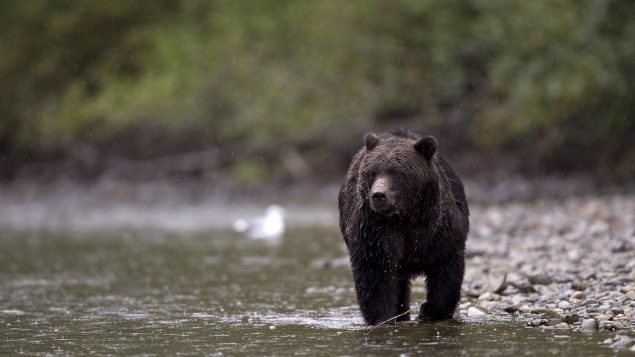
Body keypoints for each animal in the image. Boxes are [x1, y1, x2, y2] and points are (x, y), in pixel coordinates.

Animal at [340, 129, 470, 324]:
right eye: (372, 172)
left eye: (397, 172)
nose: (378, 195)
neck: (405, 216)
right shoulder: (374, 229)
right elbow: (375, 271)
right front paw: (383, 316)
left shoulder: (438, 228)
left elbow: (446, 267)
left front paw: (429, 310)